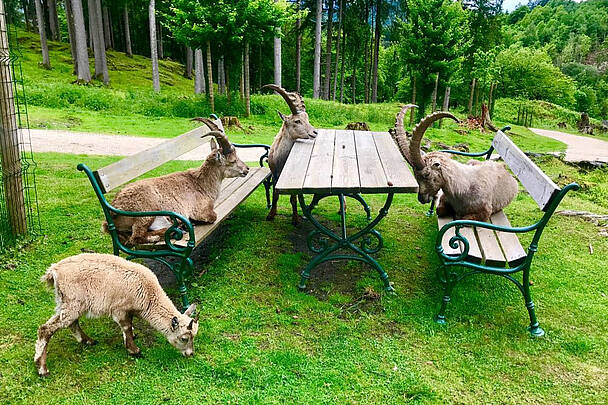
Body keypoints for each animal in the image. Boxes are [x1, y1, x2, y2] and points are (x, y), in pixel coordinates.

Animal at [35, 252, 200, 376]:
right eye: (184, 338)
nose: (190, 354)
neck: (148, 295)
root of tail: (54, 271)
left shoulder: (128, 309)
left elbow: (128, 327)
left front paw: (131, 338)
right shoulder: (119, 309)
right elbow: (126, 326)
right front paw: (134, 350)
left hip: (66, 302)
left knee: (71, 323)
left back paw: (88, 340)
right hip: (72, 302)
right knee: (46, 329)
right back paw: (42, 368)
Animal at [262, 83, 318, 226]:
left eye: (307, 118)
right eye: (297, 121)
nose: (315, 132)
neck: (282, 160)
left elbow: (293, 198)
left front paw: (295, 219)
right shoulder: (275, 175)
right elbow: (275, 194)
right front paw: (271, 214)